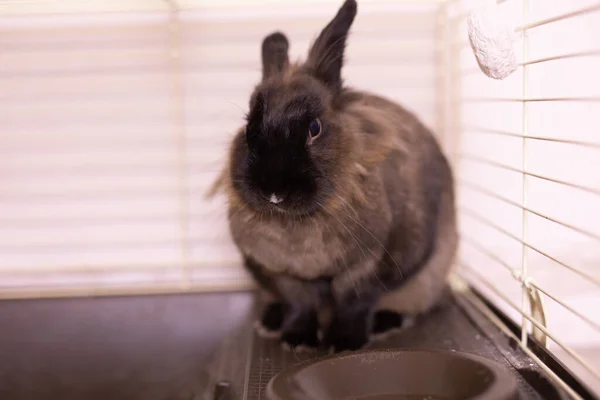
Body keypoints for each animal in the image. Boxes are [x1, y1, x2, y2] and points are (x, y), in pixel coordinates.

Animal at [213, 0, 458, 352]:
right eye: (248, 129)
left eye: (314, 128)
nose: (274, 192)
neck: (295, 224)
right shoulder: (282, 274)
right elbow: (300, 305)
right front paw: (297, 340)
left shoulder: (369, 267)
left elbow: (354, 302)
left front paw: (343, 343)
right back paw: (270, 322)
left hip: (429, 277)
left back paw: (385, 324)